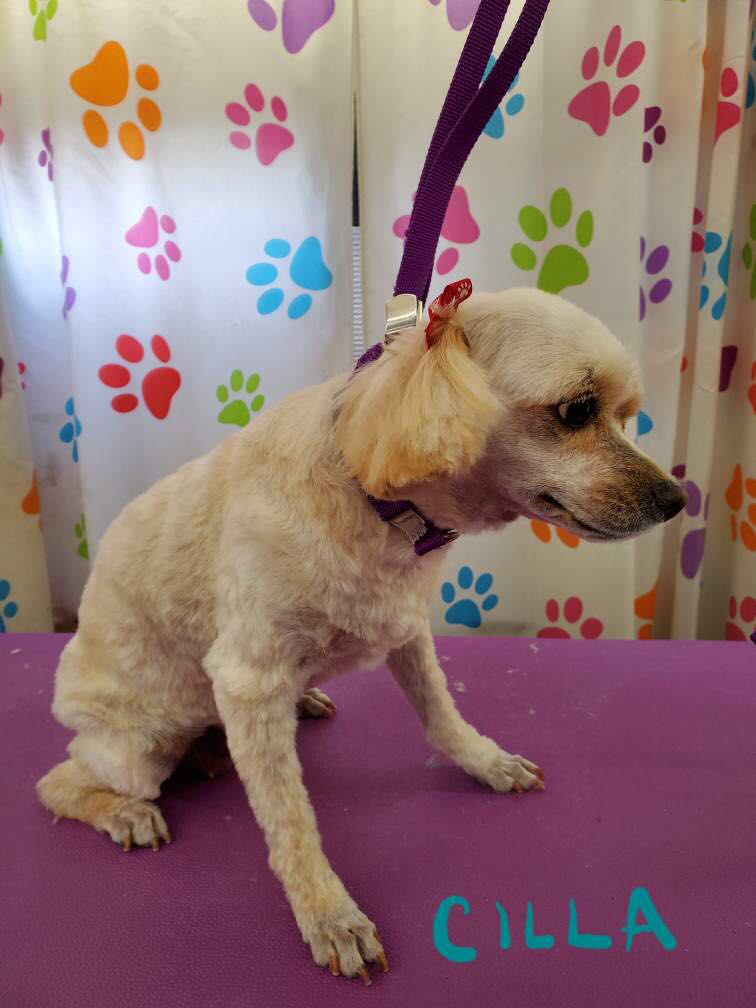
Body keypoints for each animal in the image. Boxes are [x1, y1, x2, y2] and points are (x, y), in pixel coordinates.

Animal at [37, 287, 685, 983]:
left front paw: (486, 763)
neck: (373, 492)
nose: (676, 499)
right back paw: (126, 812)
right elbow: (290, 821)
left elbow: (442, 717)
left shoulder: (403, 624)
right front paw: (330, 917)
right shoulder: (246, 680)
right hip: (138, 746)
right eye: (575, 410)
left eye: (626, 415)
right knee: (60, 782)